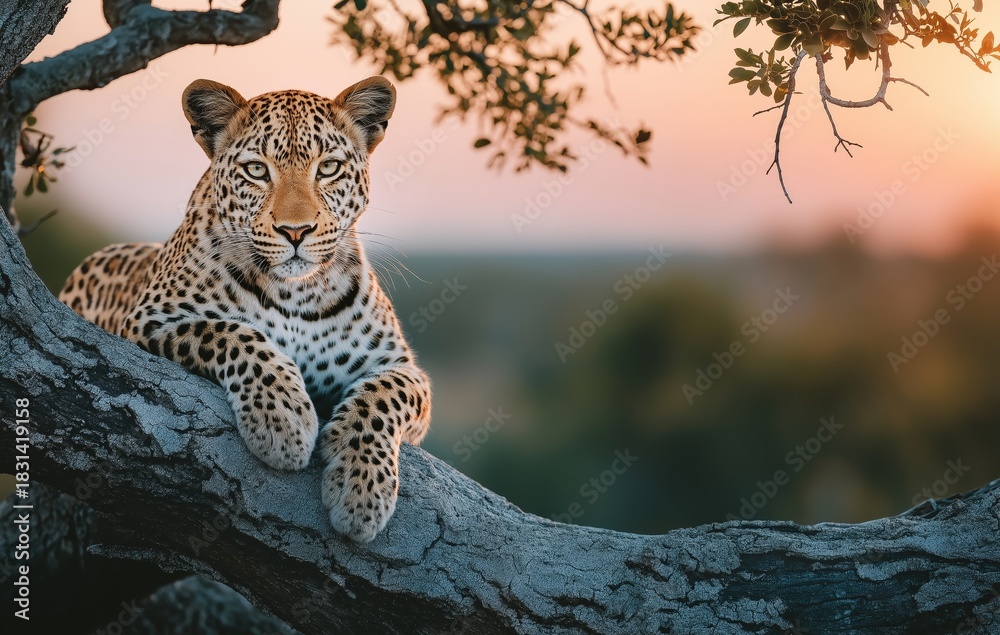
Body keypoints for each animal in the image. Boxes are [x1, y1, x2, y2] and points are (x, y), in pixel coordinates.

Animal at [58, 77, 431, 543]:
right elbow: (230, 333)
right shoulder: (147, 322)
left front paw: (362, 491)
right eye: (256, 170)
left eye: (328, 168)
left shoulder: (401, 366)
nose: (296, 231)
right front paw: (283, 422)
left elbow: (383, 396)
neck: (297, 293)